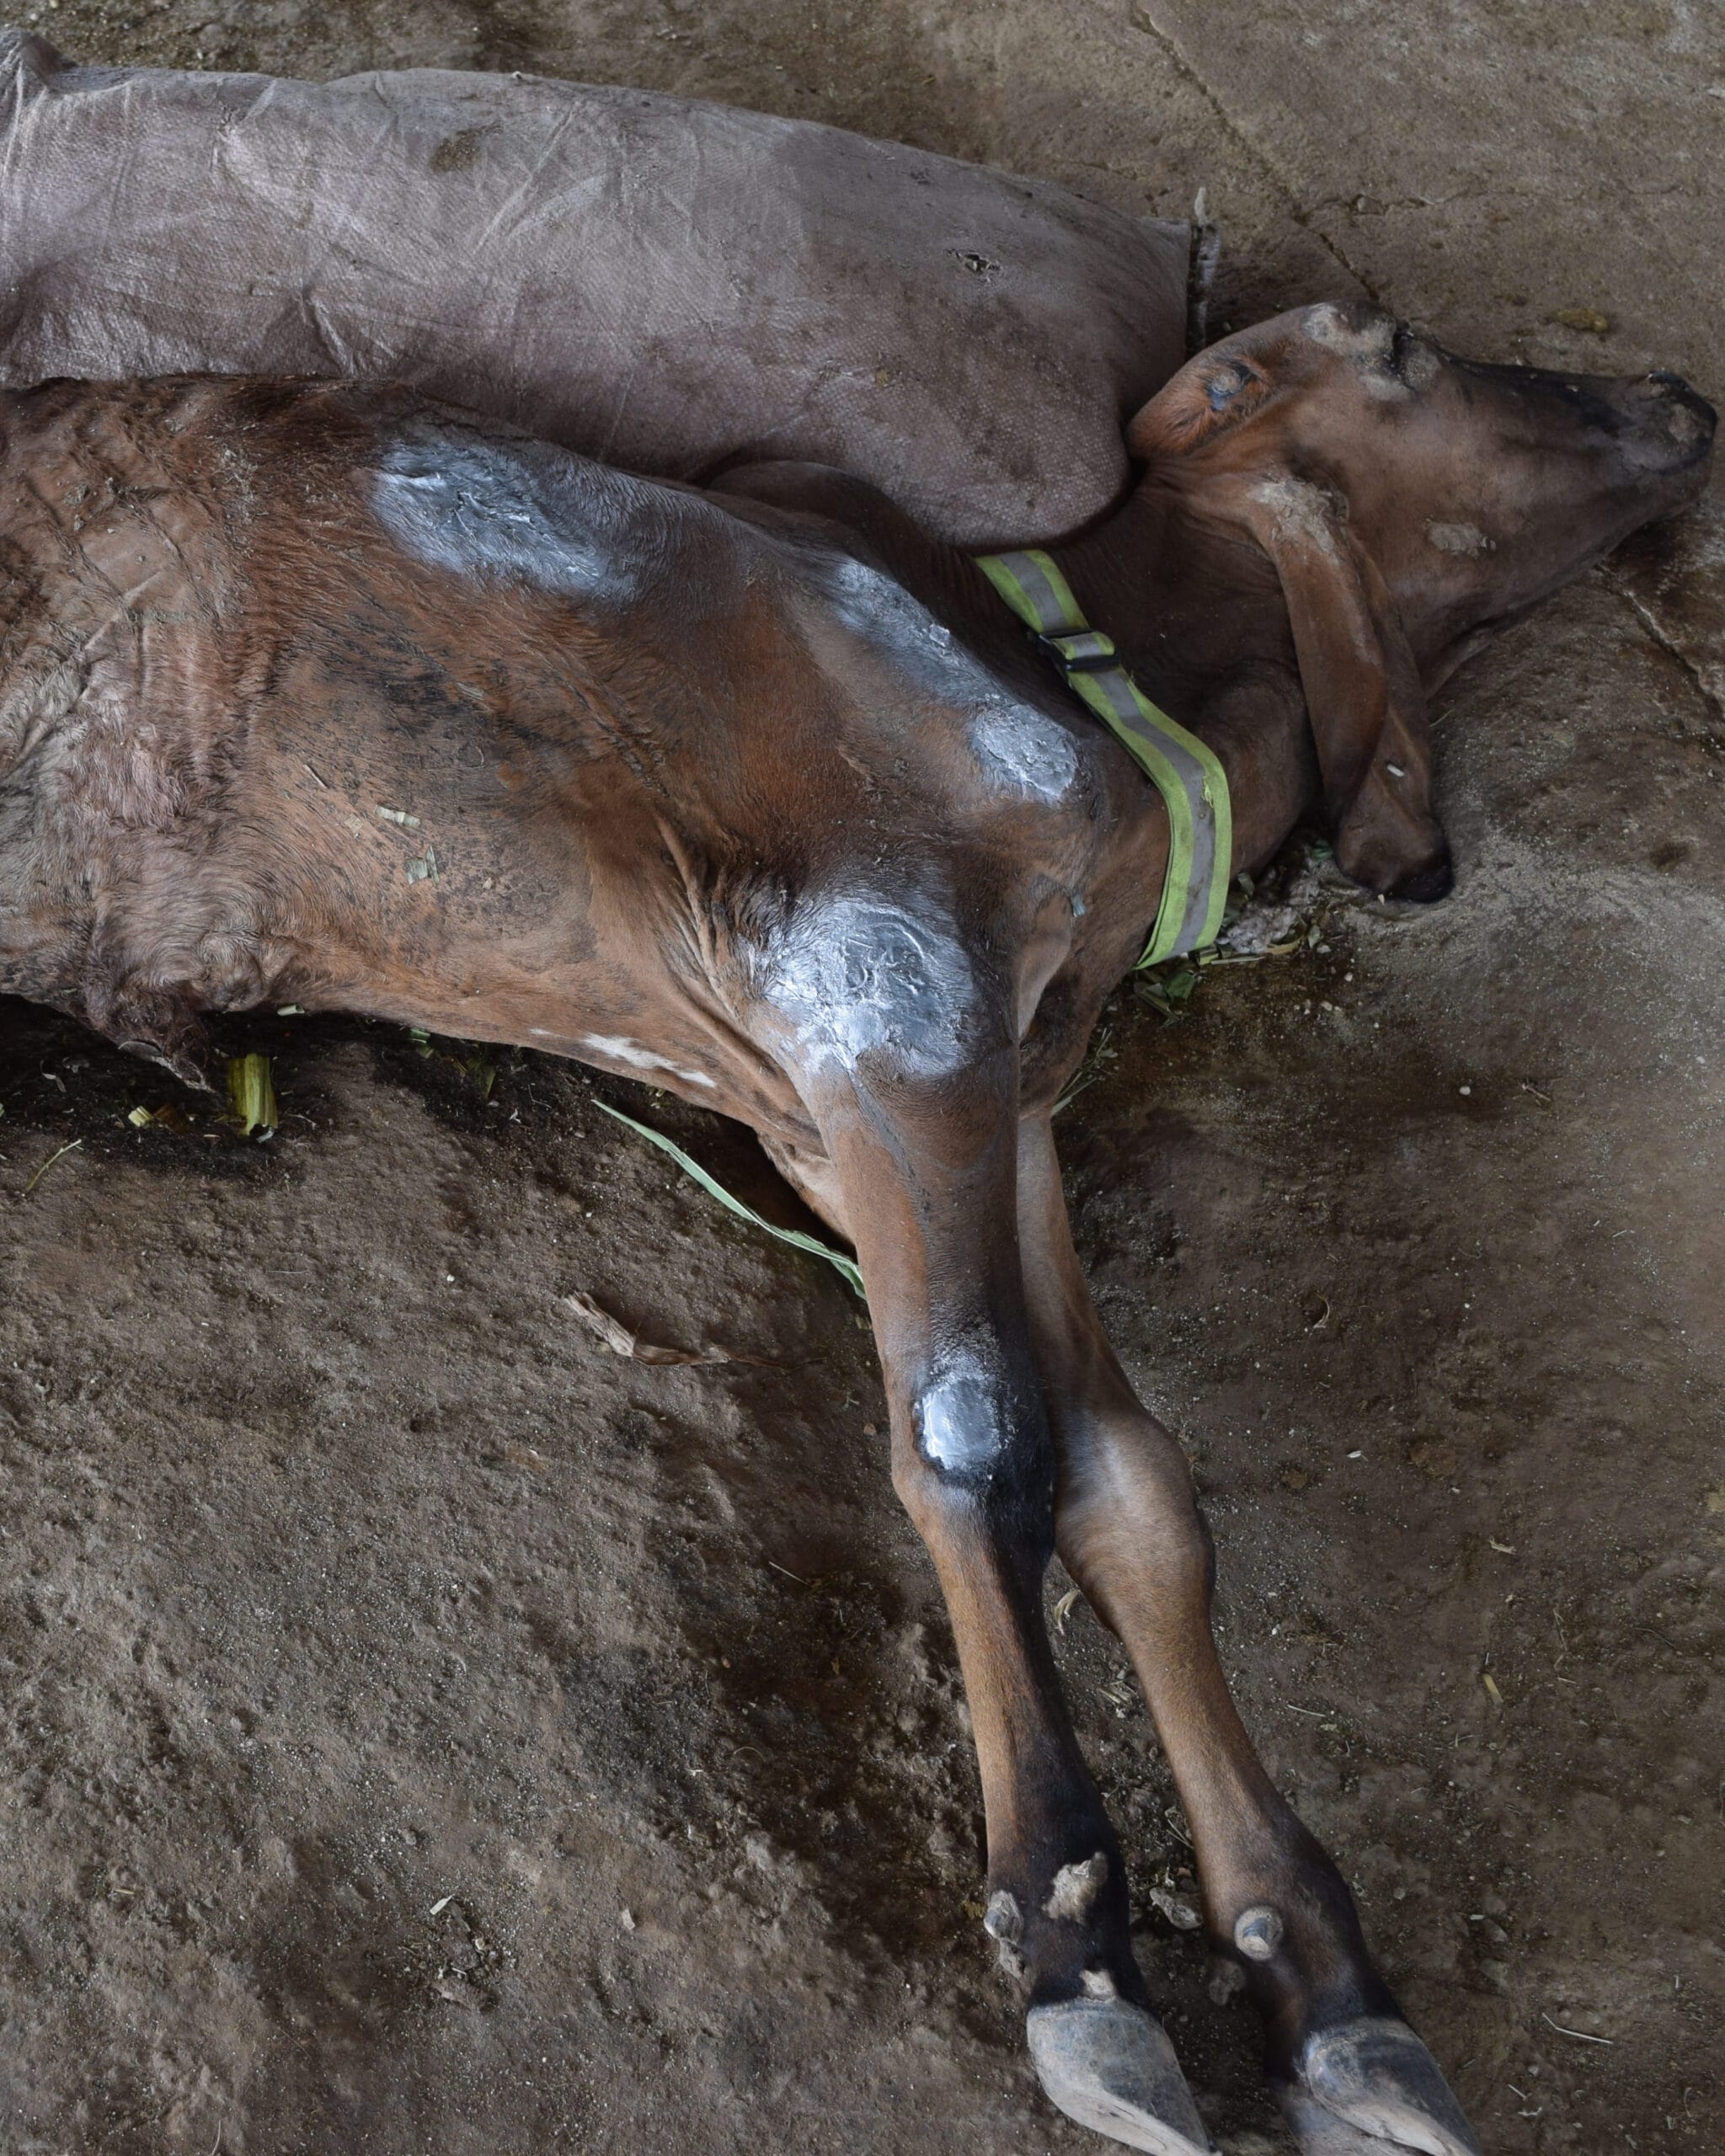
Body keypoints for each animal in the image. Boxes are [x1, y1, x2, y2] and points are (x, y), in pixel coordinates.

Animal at [0, 311, 1711, 2155]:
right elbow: (975, 1436)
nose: (1678, 396)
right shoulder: (879, 991)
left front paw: (1329, 1986)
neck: (1086, 669)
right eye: (1398, 352)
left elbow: (1128, 1480)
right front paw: (1073, 1944)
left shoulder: (967, 1095)